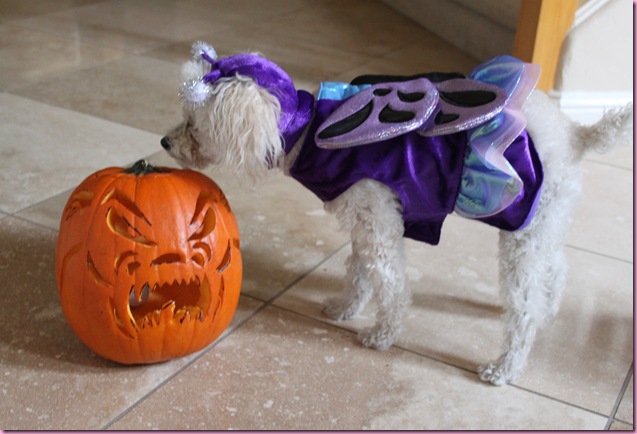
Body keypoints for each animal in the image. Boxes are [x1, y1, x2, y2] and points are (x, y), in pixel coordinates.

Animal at [160, 40, 632, 384]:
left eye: (193, 124)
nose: (164, 142)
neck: (307, 131)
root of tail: (575, 135)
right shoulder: (367, 220)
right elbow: (359, 270)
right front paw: (346, 307)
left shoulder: (377, 222)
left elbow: (389, 281)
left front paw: (383, 333)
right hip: (543, 223)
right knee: (557, 267)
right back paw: (550, 310)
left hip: (521, 229)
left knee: (524, 309)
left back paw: (505, 365)